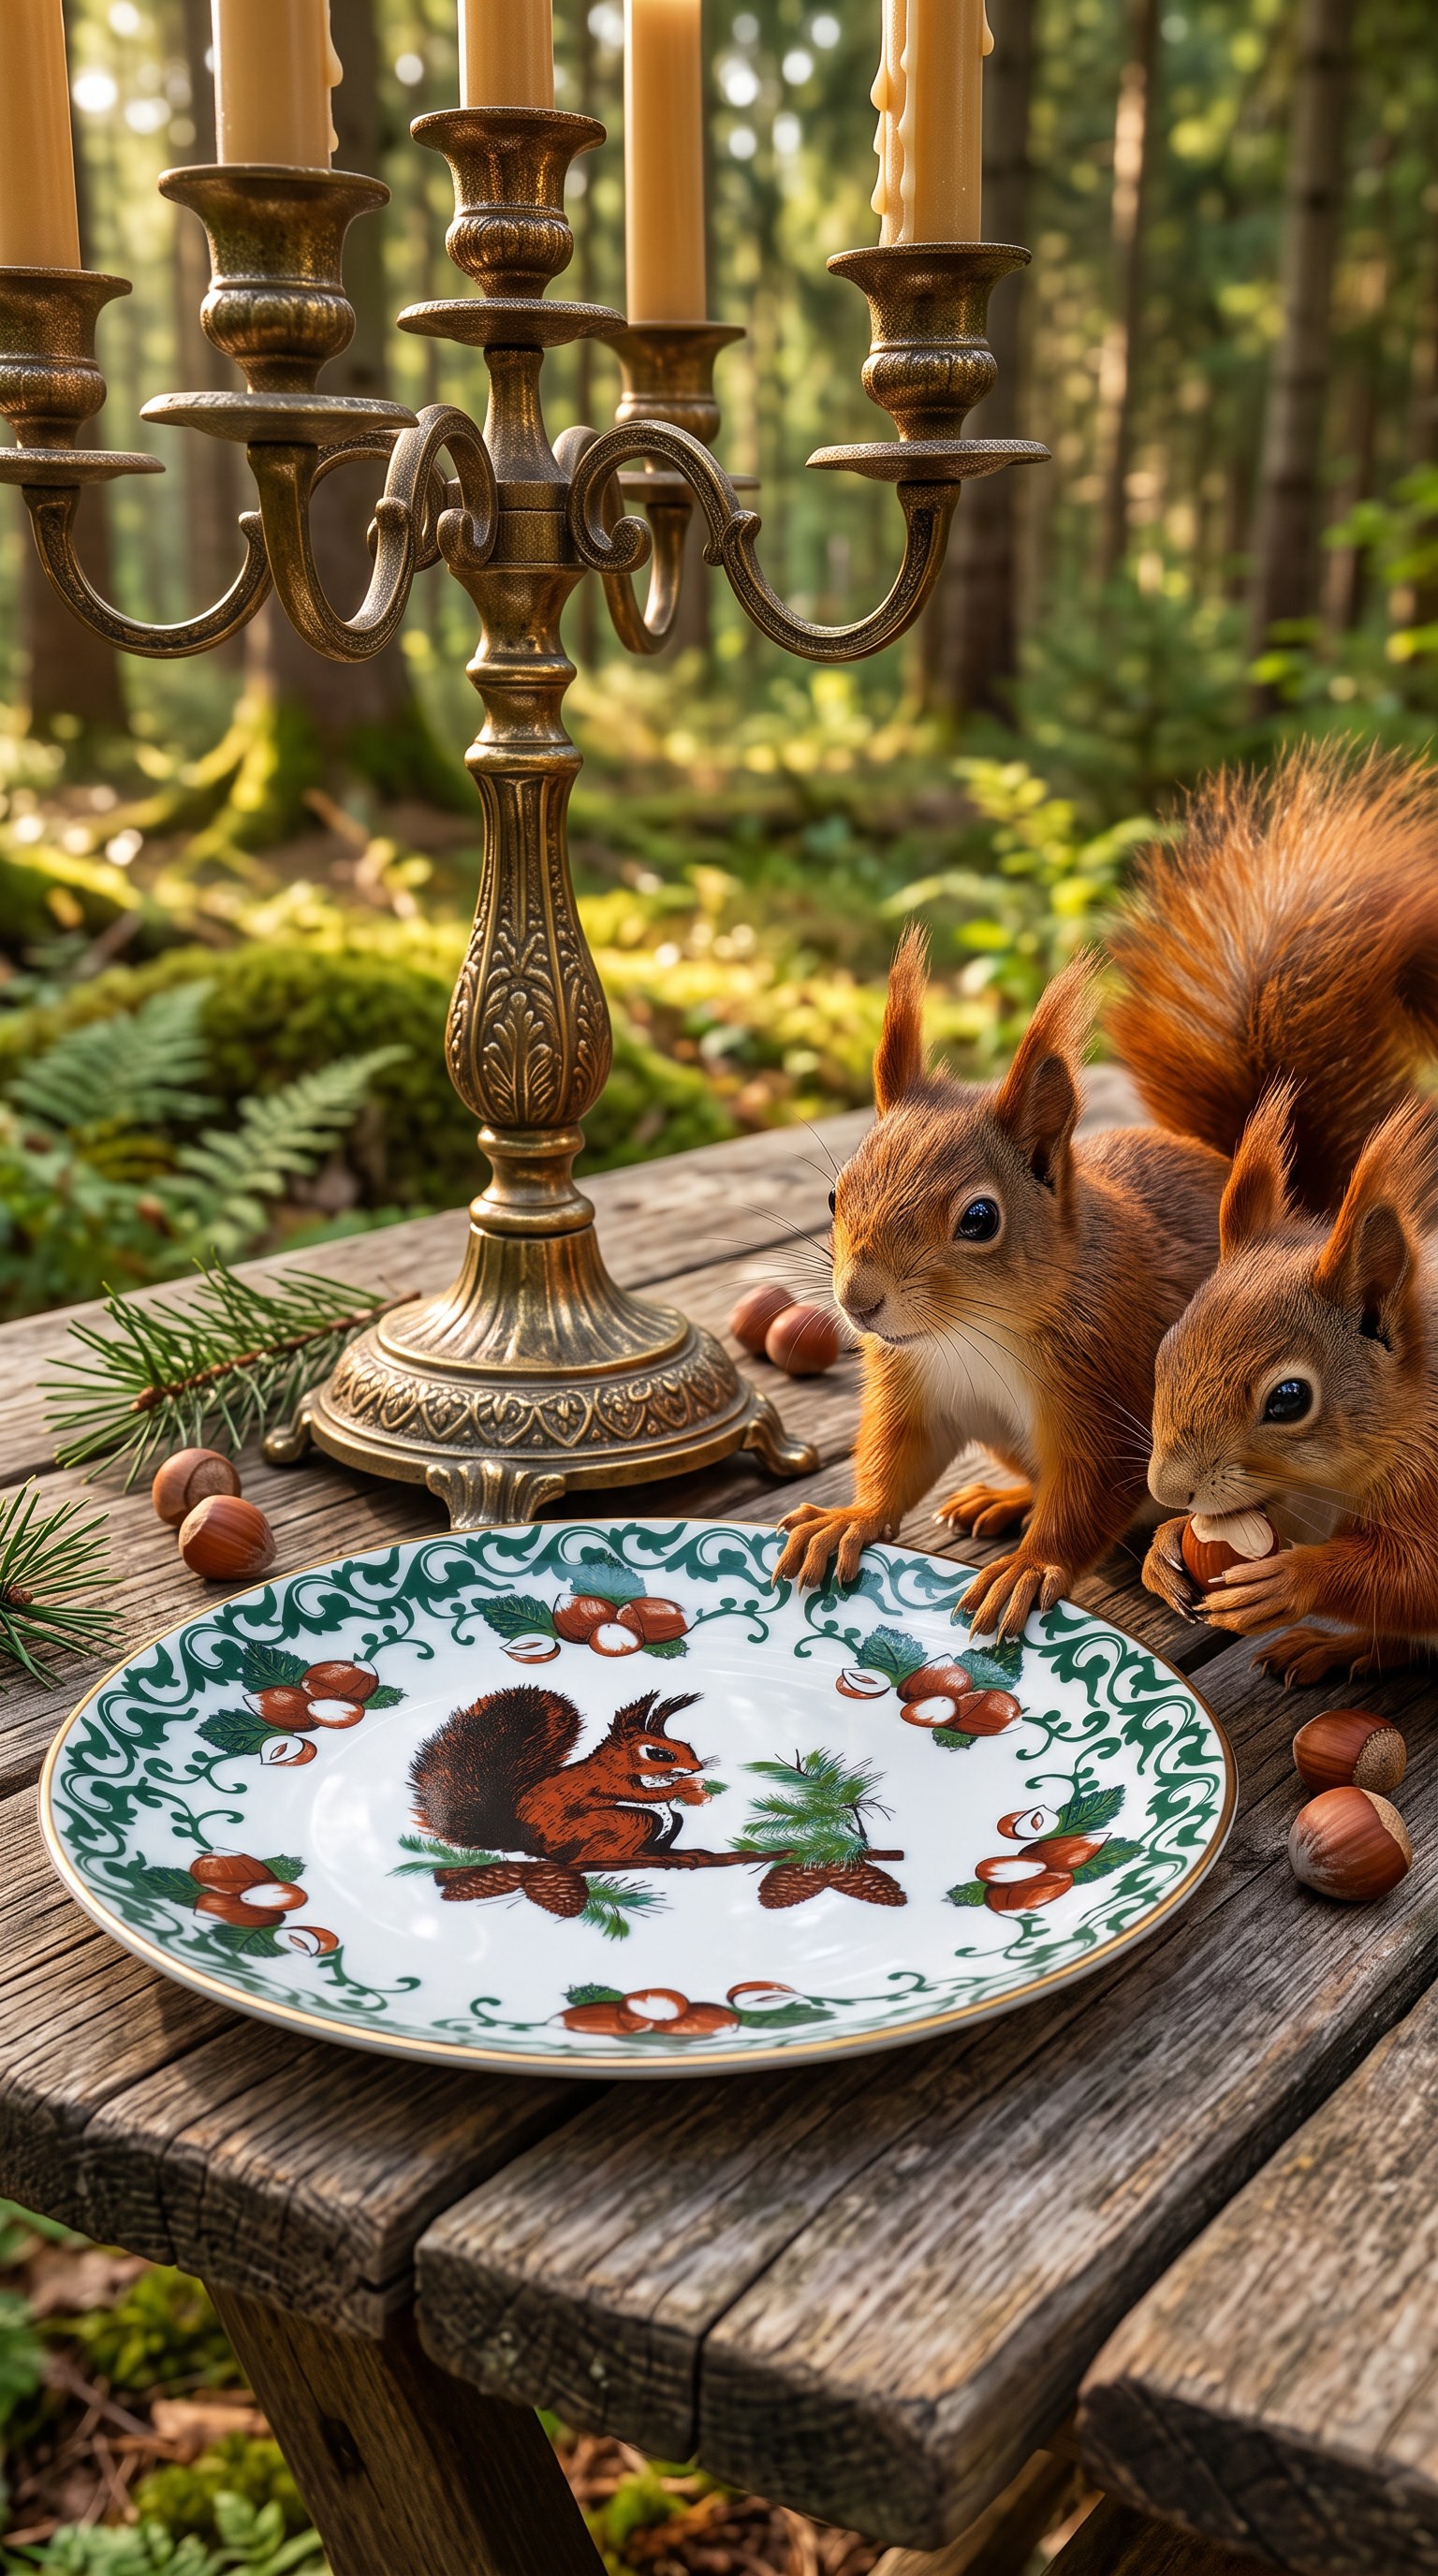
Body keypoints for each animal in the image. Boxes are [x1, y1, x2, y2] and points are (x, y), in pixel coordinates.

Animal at [409, 1683, 712, 1872]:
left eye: (688, 1745)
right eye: (659, 1754)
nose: (697, 1768)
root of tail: (526, 1840)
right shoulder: (607, 1780)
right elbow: (637, 1793)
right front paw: (685, 1787)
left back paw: (680, 1853)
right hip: (624, 1821)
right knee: (586, 1858)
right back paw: (640, 1857)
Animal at [777, 745, 1438, 1641]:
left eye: (979, 1218)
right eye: (834, 1197)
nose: (859, 1301)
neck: (970, 1335)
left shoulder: (1103, 1383)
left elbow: (1089, 1496)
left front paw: (1031, 1568)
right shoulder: (912, 1385)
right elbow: (894, 1458)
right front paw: (850, 1518)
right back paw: (1003, 1497)